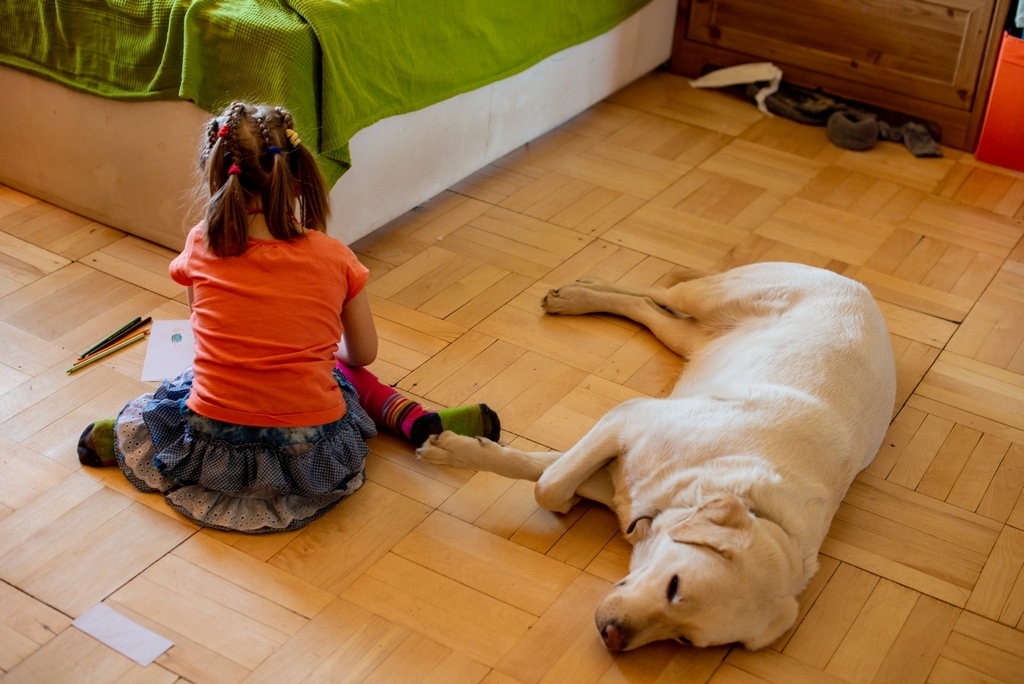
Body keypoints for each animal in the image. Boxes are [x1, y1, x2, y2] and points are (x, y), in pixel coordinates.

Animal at [415, 262, 897, 651]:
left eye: (684, 639)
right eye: (674, 586)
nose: (613, 638)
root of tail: (862, 289)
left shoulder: (617, 468)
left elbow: (546, 473)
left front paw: (458, 449)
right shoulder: (629, 417)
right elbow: (548, 485)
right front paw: (458, 450)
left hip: (689, 337)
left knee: (648, 309)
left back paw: (581, 293)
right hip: (711, 294)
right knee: (659, 291)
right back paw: (578, 292)